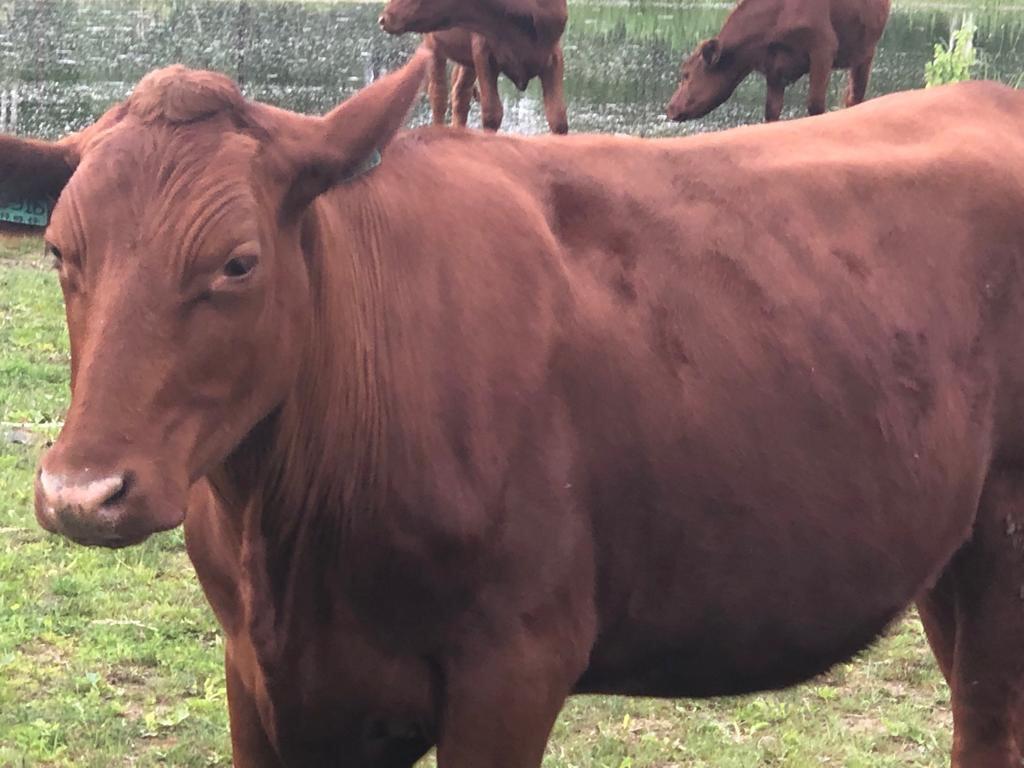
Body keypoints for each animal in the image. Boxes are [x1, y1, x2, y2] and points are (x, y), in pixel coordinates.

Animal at [8, 48, 1024, 768]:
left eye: (238, 262)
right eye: (58, 250)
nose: (80, 492)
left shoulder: (514, 666)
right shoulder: (264, 682)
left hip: (1005, 545)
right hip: (946, 555)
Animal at [379, 0, 568, 133]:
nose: (383, 19)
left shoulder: (554, 56)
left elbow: (558, 117)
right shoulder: (483, 52)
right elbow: (492, 114)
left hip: (466, 62)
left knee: (460, 95)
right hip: (433, 45)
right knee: (439, 95)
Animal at [667, 0, 891, 123]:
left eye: (686, 74)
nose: (670, 107)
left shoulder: (823, 49)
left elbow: (815, 105)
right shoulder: (773, 66)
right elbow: (771, 111)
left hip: (865, 53)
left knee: (855, 98)